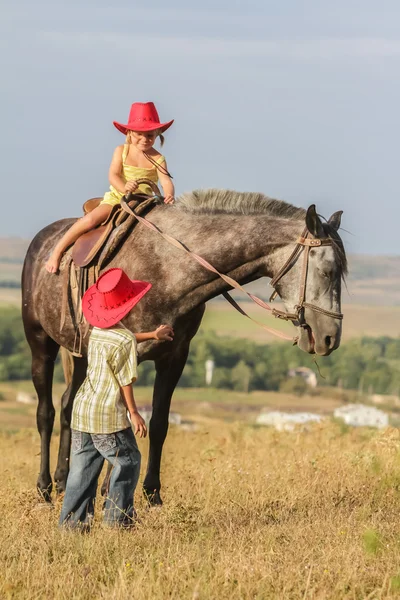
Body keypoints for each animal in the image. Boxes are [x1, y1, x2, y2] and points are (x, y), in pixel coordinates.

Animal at [22, 190, 346, 504]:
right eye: (327, 271)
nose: (330, 337)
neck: (168, 269)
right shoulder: (126, 353)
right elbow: (120, 416)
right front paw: (109, 493)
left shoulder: (174, 358)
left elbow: (158, 424)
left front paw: (152, 493)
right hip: (41, 346)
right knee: (46, 412)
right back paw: (44, 487)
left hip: (81, 355)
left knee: (69, 406)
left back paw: (64, 480)